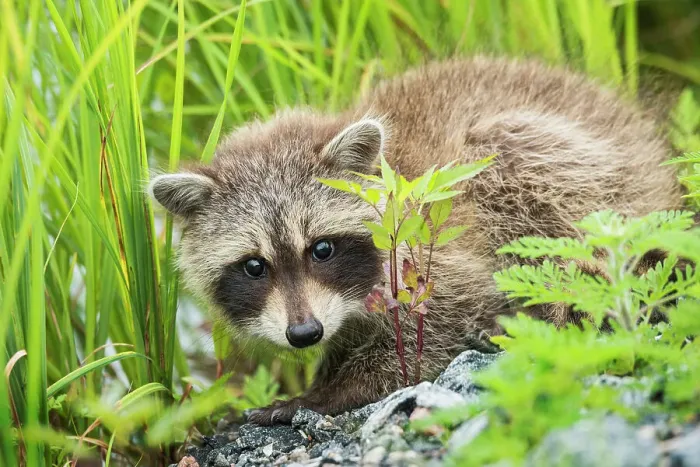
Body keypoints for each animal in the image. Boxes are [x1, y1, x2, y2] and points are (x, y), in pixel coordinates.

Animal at [148, 56, 683, 425]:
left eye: (321, 249)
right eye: (254, 266)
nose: (304, 334)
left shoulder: (432, 247)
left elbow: (442, 325)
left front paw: (325, 395)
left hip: (572, 166)